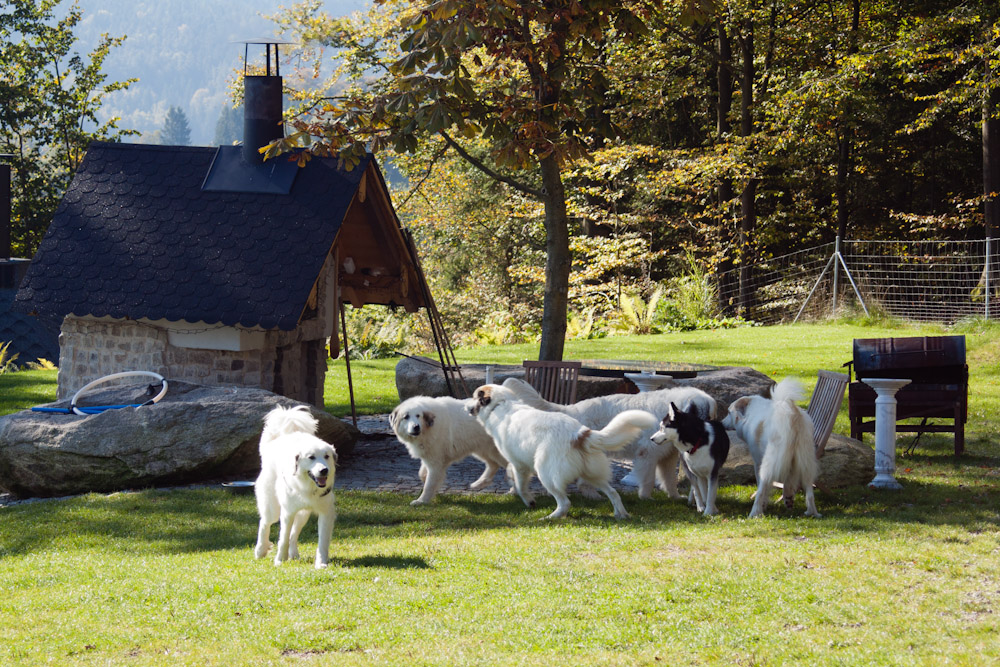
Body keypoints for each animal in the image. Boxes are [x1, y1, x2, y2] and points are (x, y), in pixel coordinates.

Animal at [254, 404, 340, 572]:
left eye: (326, 456)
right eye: (311, 457)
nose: (324, 470)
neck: (308, 487)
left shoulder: (325, 513)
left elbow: (322, 541)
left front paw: (321, 563)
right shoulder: (287, 513)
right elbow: (282, 538)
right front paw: (279, 560)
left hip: (303, 514)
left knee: (294, 534)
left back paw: (293, 554)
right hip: (273, 509)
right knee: (265, 523)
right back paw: (260, 550)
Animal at [466, 384, 660, 520]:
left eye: (475, 396)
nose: (466, 406)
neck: (500, 405)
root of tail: (580, 433)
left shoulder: (519, 464)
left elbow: (520, 486)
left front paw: (528, 501)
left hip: (546, 473)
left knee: (565, 502)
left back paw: (551, 517)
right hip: (592, 474)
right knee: (613, 492)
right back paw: (621, 514)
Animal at [504, 378, 716, 498]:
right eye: (702, 415)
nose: (712, 432)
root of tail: (572, 409)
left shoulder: (666, 457)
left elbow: (669, 480)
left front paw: (675, 497)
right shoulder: (647, 454)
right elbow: (647, 480)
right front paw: (646, 498)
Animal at [724, 378, 824, 520]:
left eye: (728, 412)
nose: (721, 423)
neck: (750, 414)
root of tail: (792, 413)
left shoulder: (758, 461)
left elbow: (763, 487)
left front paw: (764, 504)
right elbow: (789, 482)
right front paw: (788, 498)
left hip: (769, 462)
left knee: (762, 487)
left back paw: (754, 513)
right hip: (806, 460)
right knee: (809, 490)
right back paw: (812, 512)